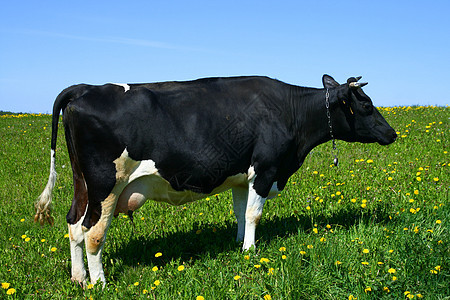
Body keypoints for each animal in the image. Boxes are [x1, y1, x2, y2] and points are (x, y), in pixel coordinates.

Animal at [35, 74, 396, 286]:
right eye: (366, 105)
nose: (391, 133)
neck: (290, 112)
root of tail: (84, 88)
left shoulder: (242, 177)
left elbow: (240, 212)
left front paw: (238, 244)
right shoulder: (265, 170)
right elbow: (254, 214)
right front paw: (251, 251)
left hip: (82, 184)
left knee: (74, 225)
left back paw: (79, 278)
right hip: (106, 184)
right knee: (93, 233)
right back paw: (99, 283)